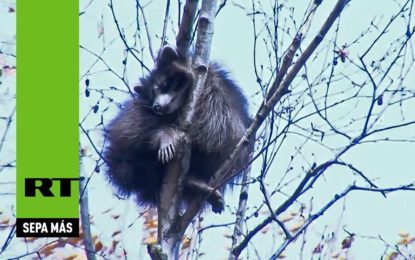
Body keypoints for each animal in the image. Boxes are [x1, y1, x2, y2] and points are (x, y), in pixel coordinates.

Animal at [105, 45, 252, 213]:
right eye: (151, 94)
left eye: (164, 85)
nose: (156, 106)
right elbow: (136, 125)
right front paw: (164, 133)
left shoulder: (214, 91)